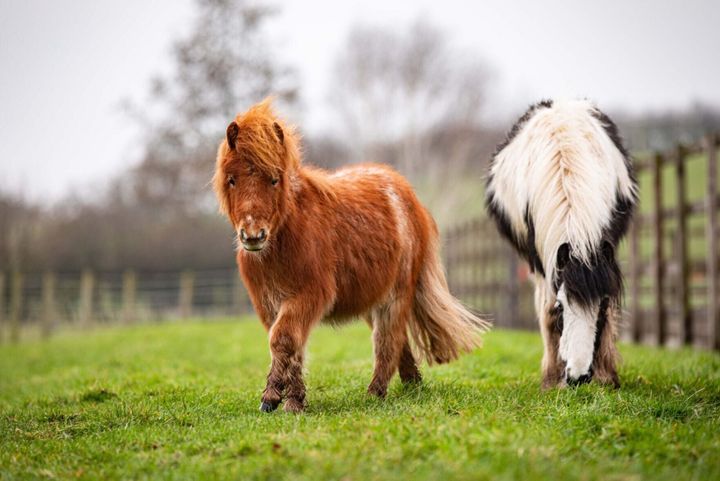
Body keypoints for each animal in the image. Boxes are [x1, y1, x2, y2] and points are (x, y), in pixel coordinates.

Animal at [213, 99, 489, 412]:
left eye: (274, 180)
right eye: (232, 180)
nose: (253, 235)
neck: (284, 239)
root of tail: (406, 192)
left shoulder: (308, 295)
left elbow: (284, 340)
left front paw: (279, 399)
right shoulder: (269, 303)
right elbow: (291, 347)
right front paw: (290, 397)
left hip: (396, 295)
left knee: (387, 339)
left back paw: (376, 392)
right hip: (373, 298)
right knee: (398, 342)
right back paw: (412, 384)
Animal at [485, 99, 637, 388]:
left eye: (601, 307)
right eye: (561, 307)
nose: (578, 377)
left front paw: (606, 376)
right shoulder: (542, 263)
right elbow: (546, 312)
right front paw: (552, 378)